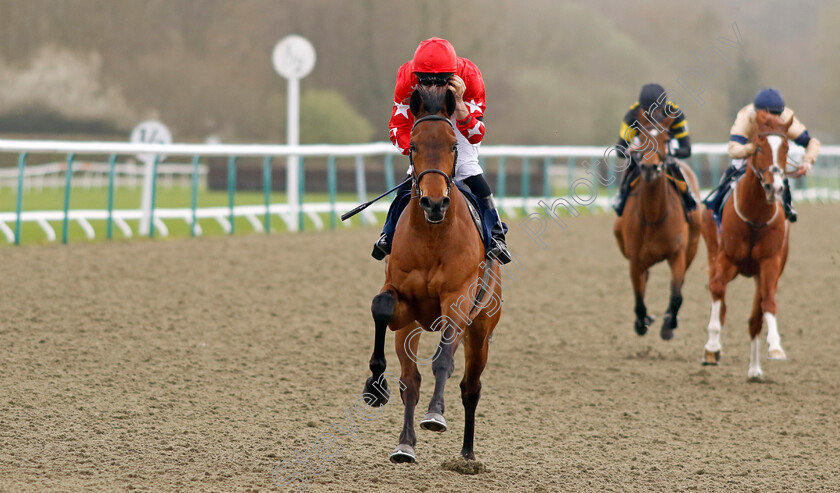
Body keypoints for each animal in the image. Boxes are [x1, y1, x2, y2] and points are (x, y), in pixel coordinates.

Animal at [360, 83, 502, 462]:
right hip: (411, 328)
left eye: (453, 144)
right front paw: (374, 385)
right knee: (411, 382)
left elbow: (443, 362)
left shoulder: (457, 301)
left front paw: (436, 415)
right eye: (414, 146)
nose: (434, 203)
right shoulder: (402, 302)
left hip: (481, 330)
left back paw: (467, 454)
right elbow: (380, 307)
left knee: (470, 386)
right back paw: (404, 444)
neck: (432, 238)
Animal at [612, 114, 704, 340]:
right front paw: (641, 322)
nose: (649, 168)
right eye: (641, 136)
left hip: (692, 247)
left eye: (665, 139)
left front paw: (668, 325)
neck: (653, 216)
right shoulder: (635, 259)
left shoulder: (677, 255)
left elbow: (677, 295)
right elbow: (638, 297)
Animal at [704, 111, 796, 378]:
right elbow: (717, 290)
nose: (774, 186)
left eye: (786, 147)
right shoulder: (726, 259)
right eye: (758, 146)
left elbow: (767, 304)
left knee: (755, 318)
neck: (755, 217)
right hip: (712, 254)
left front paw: (775, 346)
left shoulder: (770, 264)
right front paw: (712, 345)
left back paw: (754, 370)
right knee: (718, 295)